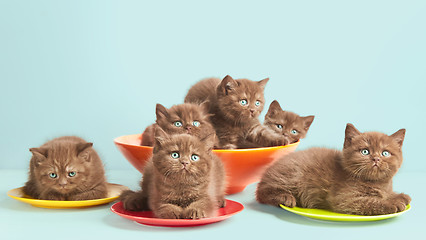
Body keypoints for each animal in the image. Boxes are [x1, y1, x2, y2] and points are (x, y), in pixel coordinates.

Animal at [255, 124, 412, 216]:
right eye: (365, 151)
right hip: (294, 174)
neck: (375, 183)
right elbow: (371, 201)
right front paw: (393, 203)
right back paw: (285, 197)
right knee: (262, 191)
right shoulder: (345, 199)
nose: (376, 159)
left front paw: (399, 196)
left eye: (385, 153)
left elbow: (385, 195)